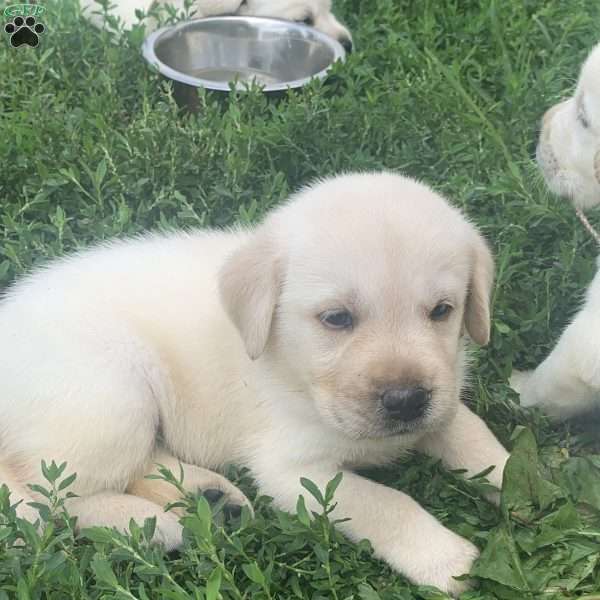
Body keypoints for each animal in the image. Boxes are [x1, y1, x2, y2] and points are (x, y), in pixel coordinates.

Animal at [0, 172, 506, 596]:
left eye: (441, 310)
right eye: (336, 318)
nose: (406, 401)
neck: (293, 370)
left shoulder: (443, 398)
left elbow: (474, 435)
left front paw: (514, 481)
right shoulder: (293, 470)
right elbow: (385, 502)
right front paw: (445, 558)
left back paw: (208, 497)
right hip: (113, 399)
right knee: (53, 495)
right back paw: (147, 524)